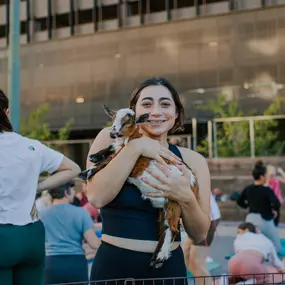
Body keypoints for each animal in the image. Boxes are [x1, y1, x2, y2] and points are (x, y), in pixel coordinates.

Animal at [77, 103, 197, 266]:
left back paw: (159, 258)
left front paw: (86, 172)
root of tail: (194, 184)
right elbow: (111, 148)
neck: (130, 139)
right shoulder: (118, 148)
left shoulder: (121, 155)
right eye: (113, 118)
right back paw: (157, 258)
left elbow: (105, 162)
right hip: (166, 206)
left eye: (128, 121)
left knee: (172, 228)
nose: (112, 133)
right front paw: (95, 155)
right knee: (166, 228)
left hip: (175, 200)